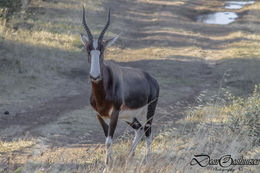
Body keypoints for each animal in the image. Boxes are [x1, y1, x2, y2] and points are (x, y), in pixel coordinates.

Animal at [80, 6, 159, 165]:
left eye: (102, 50)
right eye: (88, 50)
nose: (95, 76)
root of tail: (152, 79)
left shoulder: (114, 115)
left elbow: (109, 142)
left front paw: (107, 165)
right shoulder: (100, 116)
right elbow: (107, 140)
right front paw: (108, 164)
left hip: (149, 111)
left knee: (148, 132)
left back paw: (146, 161)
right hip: (129, 116)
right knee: (139, 129)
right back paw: (129, 157)